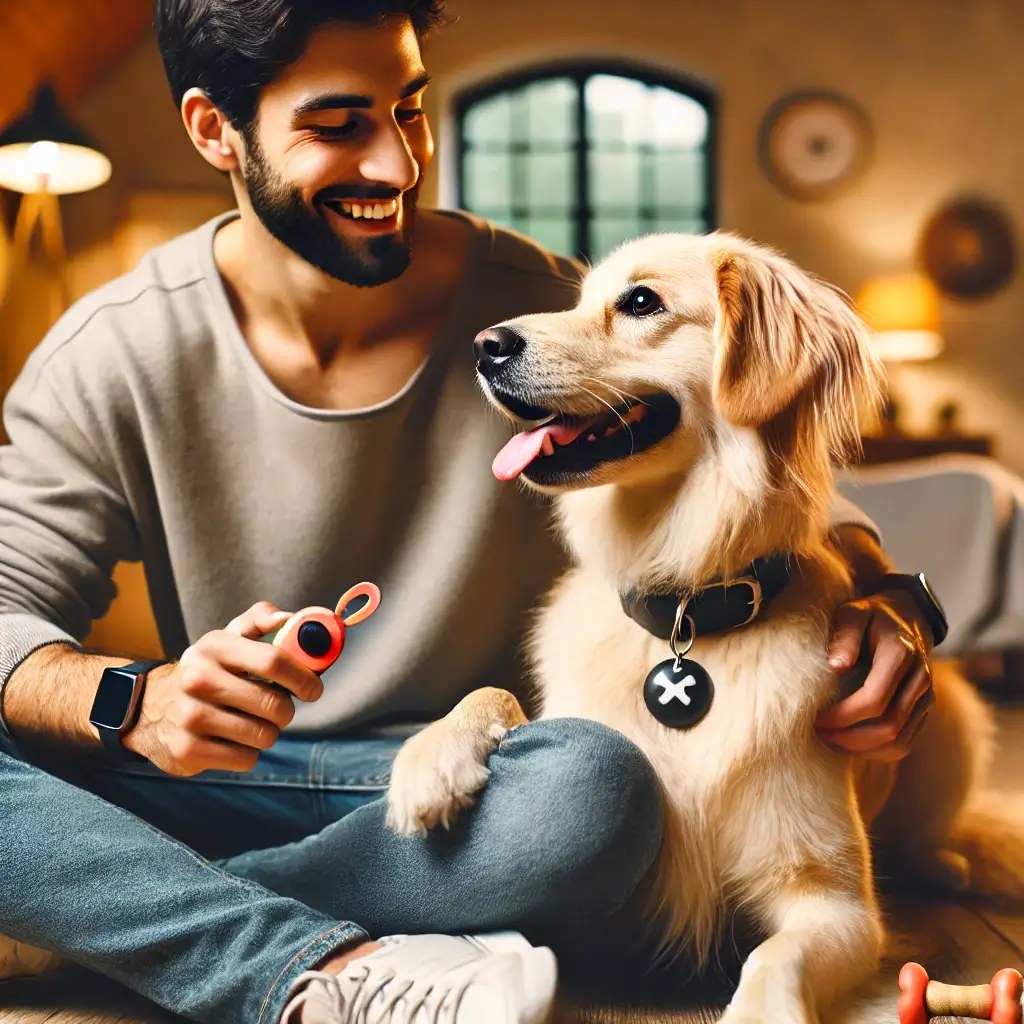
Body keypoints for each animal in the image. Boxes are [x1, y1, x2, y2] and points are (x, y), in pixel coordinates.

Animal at [385, 234, 1024, 1024]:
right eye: (578, 299)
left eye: (640, 302)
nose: (486, 346)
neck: (687, 607)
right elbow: (499, 698)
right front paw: (430, 760)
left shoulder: (836, 902)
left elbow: (772, 959)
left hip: (954, 720)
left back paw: (947, 861)